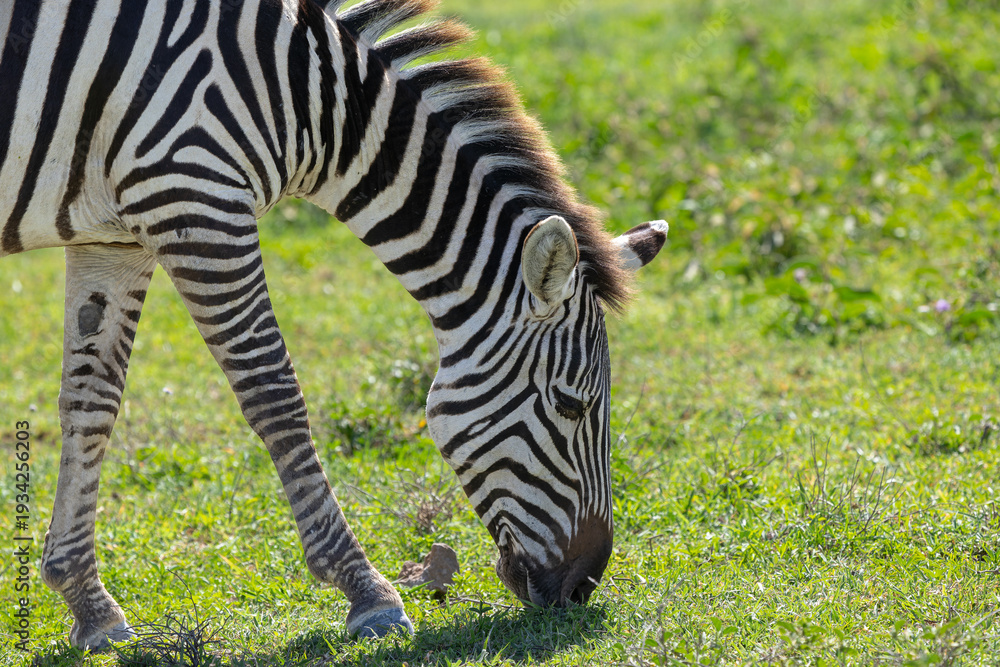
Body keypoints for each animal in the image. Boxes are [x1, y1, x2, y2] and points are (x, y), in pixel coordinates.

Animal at [0, 0, 668, 650]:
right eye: (571, 405)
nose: (582, 588)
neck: (299, 93)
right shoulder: (195, 200)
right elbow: (276, 397)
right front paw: (366, 592)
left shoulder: (114, 235)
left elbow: (92, 404)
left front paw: (88, 604)